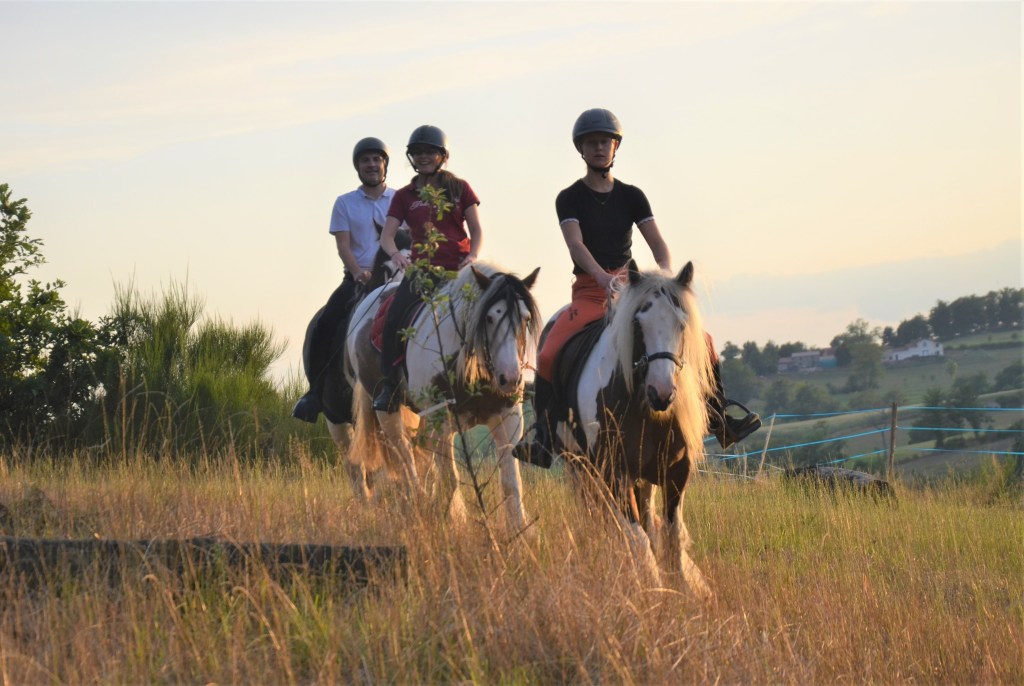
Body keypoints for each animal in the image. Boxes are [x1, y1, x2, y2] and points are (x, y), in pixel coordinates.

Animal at [345, 261, 541, 530]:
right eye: (489, 318)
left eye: (525, 318)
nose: (510, 378)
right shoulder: (442, 420)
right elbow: (451, 479)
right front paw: (455, 523)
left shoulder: (508, 417)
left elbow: (511, 480)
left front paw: (520, 529)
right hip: (388, 412)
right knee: (405, 458)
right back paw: (417, 502)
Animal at [547, 260, 716, 599]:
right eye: (639, 324)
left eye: (681, 324)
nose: (661, 393)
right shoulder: (615, 471)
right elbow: (635, 535)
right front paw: (651, 587)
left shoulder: (677, 470)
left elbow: (671, 533)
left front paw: (682, 589)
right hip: (579, 468)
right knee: (600, 520)